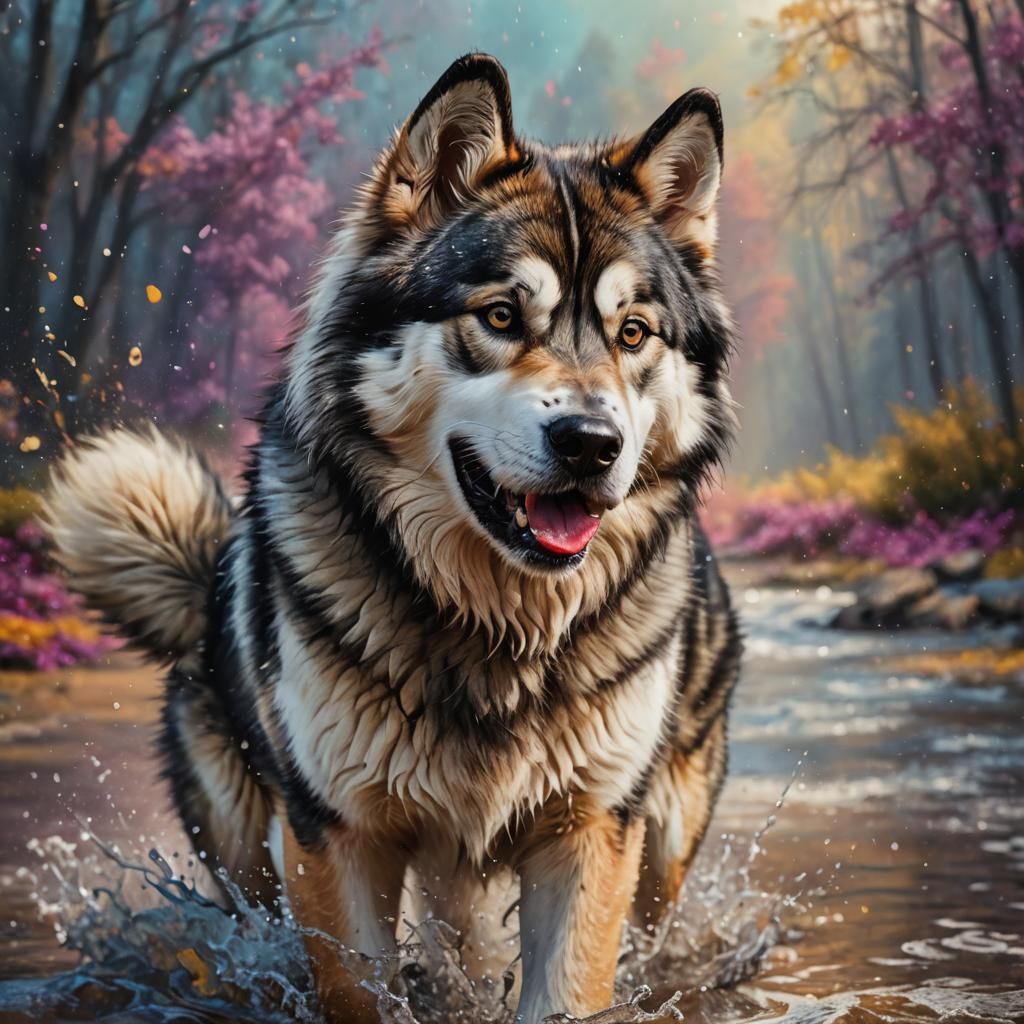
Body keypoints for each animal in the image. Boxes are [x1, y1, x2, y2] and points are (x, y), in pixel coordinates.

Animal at [46, 53, 741, 1023]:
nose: (592, 443)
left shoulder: (591, 830)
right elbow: (360, 986)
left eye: (633, 333)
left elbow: (565, 990)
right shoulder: (336, 835)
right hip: (250, 850)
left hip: (659, 842)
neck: (497, 629)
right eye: (500, 317)